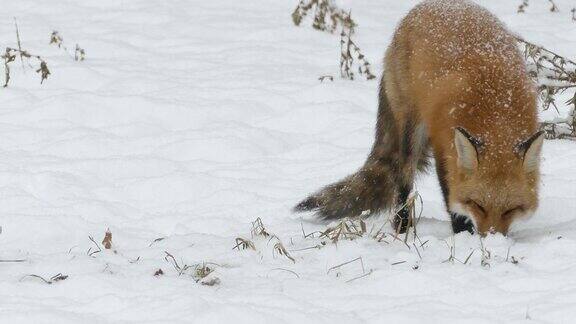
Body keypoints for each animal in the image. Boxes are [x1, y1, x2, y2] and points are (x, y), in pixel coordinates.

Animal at [296, 0, 544, 234]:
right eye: (477, 205)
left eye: (511, 210)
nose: (492, 238)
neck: (495, 110)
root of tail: (422, 7)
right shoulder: (444, 147)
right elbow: (451, 198)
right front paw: (463, 235)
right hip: (412, 130)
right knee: (403, 180)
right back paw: (403, 227)